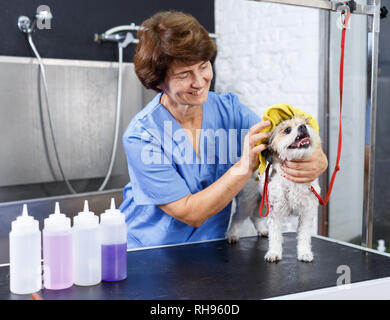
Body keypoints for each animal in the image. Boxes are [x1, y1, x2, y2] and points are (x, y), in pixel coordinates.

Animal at [227, 117, 322, 262]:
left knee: (255, 217)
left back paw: (262, 230)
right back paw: (232, 234)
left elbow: (304, 235)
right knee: (237, 217)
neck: (292, 182)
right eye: (287, 130)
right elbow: (275, 236)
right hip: (248, 202)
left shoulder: (306, 212)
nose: (303, 127)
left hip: (262, 202)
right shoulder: (276, 212)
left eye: (306, 123)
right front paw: (274, 253)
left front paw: (304, 253)